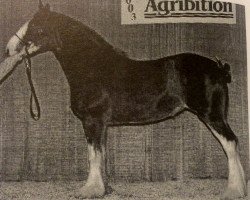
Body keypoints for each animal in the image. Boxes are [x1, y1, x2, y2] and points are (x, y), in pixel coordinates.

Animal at [4, 0, 247, 199]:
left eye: (36, 27)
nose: (8, 49)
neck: (92, 67)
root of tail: (218, 68)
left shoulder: (92, 121)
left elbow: (93, 154)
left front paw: (89, 190)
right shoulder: (102, 124)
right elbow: (101, 154)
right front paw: (104, 188)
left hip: (211, 115)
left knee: (230, 143)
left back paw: (233, 190)